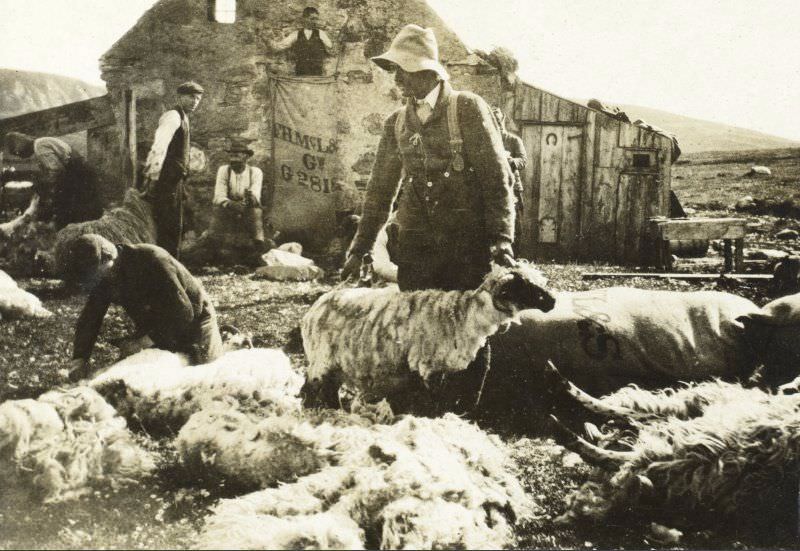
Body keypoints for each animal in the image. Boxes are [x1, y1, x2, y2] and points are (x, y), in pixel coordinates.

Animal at [300, 260, 556, 408]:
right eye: (523, 286)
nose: (553, 301)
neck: (463, 316)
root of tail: (315, 307)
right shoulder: (426, 366)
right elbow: (434, 399)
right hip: (321, 359)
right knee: (310, 387)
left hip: (335, 365)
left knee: (328, 389)